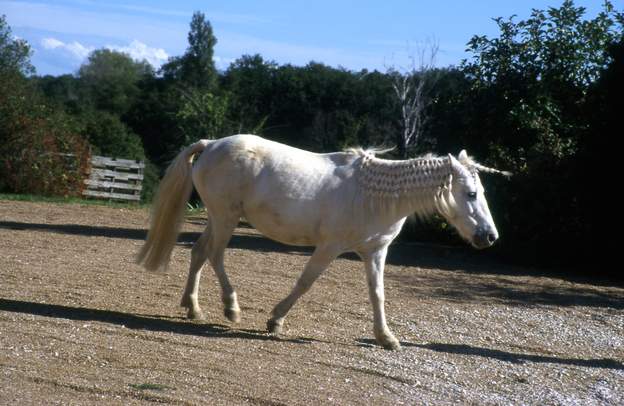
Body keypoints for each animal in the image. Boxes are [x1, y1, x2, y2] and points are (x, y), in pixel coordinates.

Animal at [135, 135, 508, 350]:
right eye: (471, 194)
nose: (490, 236)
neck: (375, 196)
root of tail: (211, 143)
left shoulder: (375, 252)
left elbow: (377, 294)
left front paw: (386, 338)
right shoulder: (330, 247)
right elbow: (305, 282)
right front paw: (275, 321)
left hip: (217, 218)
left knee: (199, 252)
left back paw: (193, 307)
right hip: (225, 218)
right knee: (214, 255)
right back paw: (231, 307)